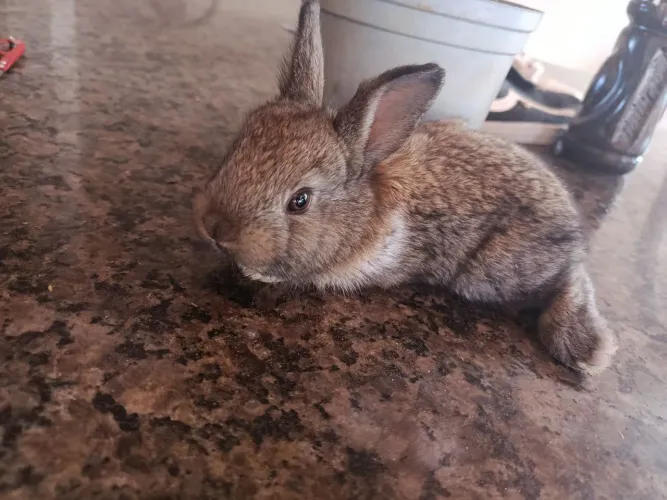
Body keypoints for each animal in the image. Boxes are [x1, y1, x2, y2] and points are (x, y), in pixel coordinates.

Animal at [193, 0, 617, 375]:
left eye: (300, 201)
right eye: (236, 148)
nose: (215, 228)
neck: (362, 208)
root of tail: (572, 234)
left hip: (492, 273)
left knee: (567, 279)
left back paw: (585, 348)